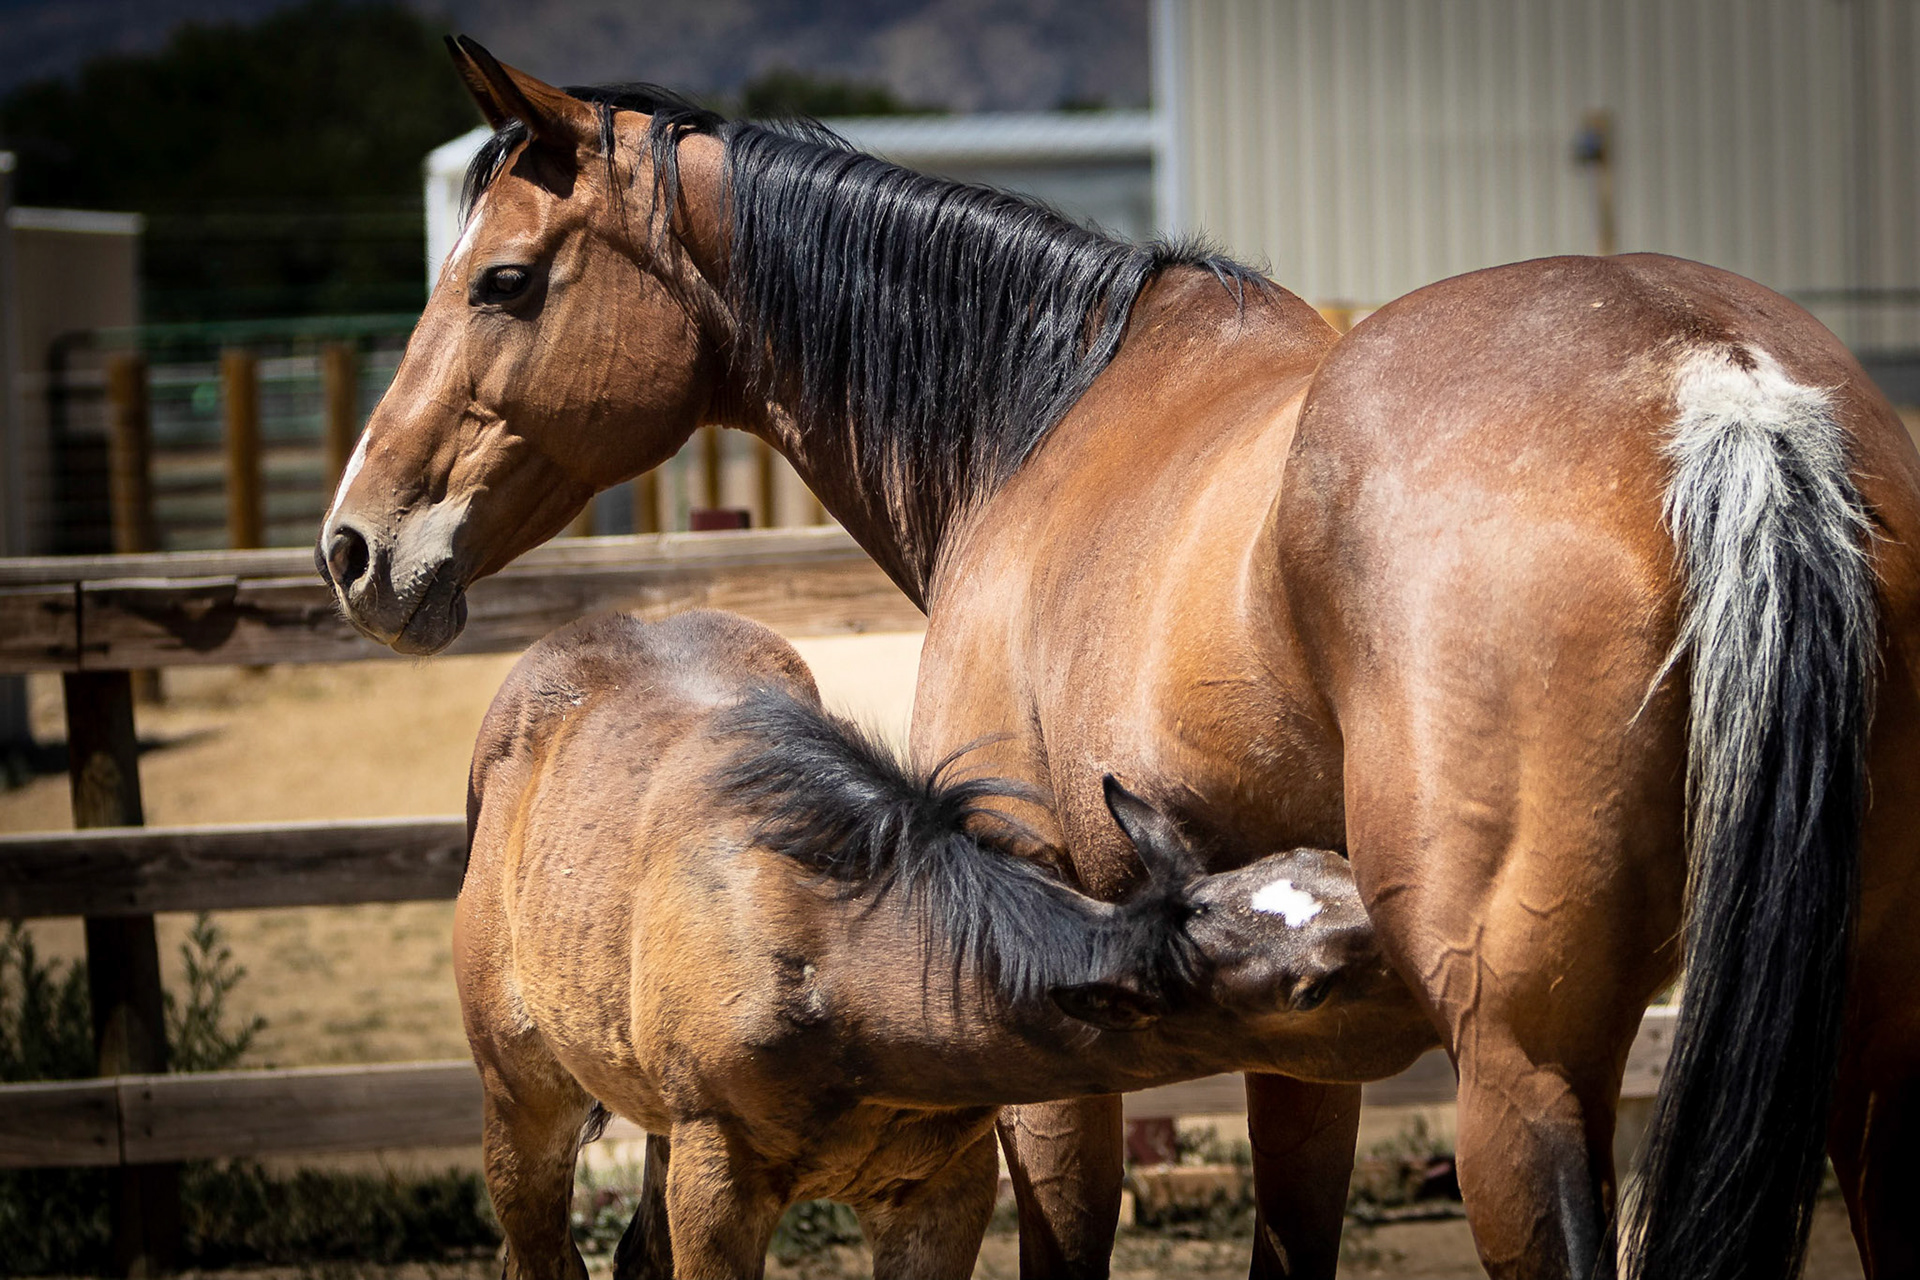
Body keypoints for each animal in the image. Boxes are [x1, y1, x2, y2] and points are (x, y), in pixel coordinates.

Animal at [459, 607, 1434, 1280]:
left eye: (1332, 864)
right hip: (522, 1104)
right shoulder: (717, 1183)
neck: (839, 969)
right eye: (1310, 989)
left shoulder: (943, 1192)